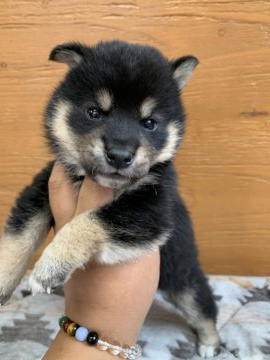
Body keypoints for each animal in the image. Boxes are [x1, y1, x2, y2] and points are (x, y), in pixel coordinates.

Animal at [0, 40, 219, 358]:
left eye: (149, 123)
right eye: (94, 112)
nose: (119, 155)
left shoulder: (150, 211)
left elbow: (90, 220)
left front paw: (51, 264)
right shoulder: (42, 188)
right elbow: (19, 237)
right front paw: (3, 280)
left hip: (183, 277)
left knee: (202, 305)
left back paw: (209, 343)